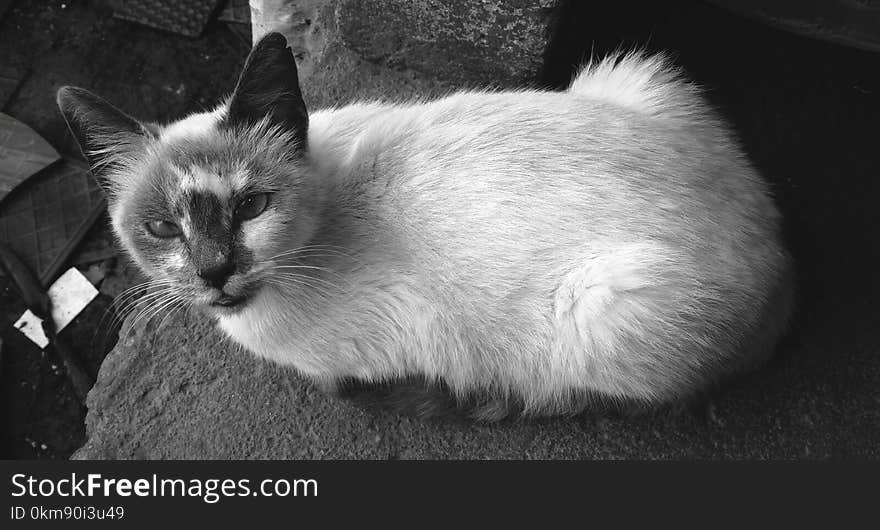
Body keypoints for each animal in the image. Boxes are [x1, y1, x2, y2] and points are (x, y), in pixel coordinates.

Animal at [58, 33, 796, 420]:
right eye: (161, 228)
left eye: (251, 208)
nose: (214, 270)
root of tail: (786, 257)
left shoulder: (404, 338)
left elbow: (345, 385)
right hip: (634, 74)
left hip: (605, 305)